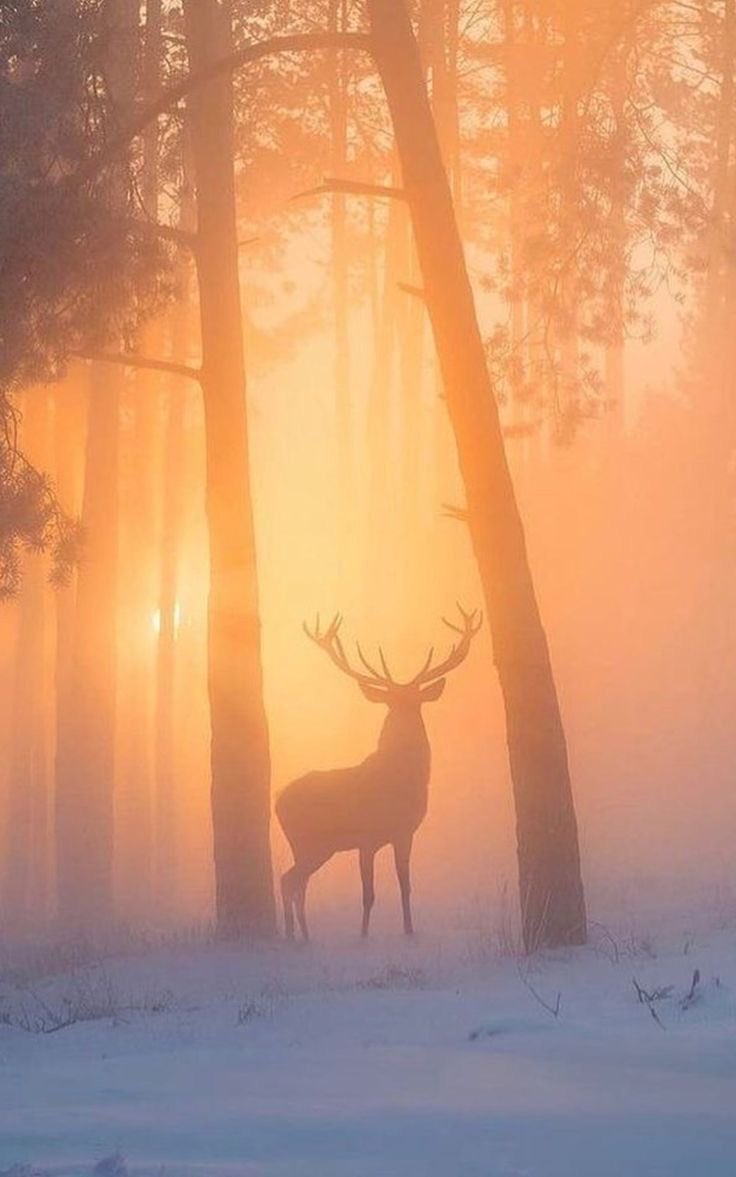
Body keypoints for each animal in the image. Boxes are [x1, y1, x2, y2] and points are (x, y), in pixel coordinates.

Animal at [275, 605, 481, 942]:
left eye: (415, 701)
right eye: (393, 702)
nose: (406, 717)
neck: (397, 783)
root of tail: (277, 800)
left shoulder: (405, 833)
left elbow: (405, 886)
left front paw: (409, 931)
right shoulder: (367, 837)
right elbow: (368, 893)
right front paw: (362, 937)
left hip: (311, 847)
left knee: (297, 883)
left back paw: (303, 936)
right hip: (311, 842)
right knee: (288, 880)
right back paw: (293, 937)